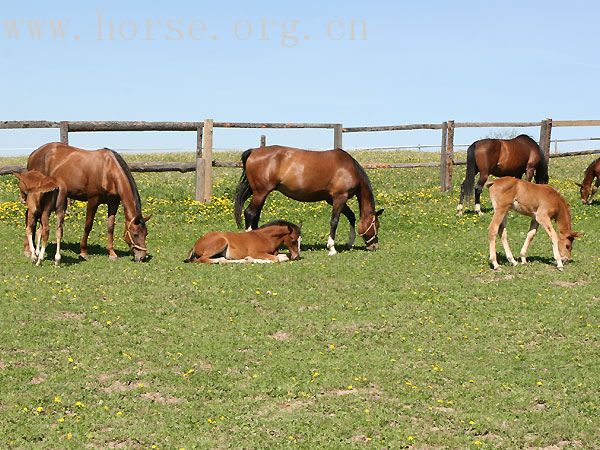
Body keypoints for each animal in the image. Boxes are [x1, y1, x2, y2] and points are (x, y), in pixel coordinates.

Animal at [232, 145, 382, 255]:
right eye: (377, 225)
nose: (374, 246)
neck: (349, 168)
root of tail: (254, 151)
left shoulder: (333, 199)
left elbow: (351, 216)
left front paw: (350, 243)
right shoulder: (340, 197)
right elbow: (334, 221)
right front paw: (331, 248)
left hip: (259, 193)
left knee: (255, 215)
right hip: (260, 193)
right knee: (250, 213)